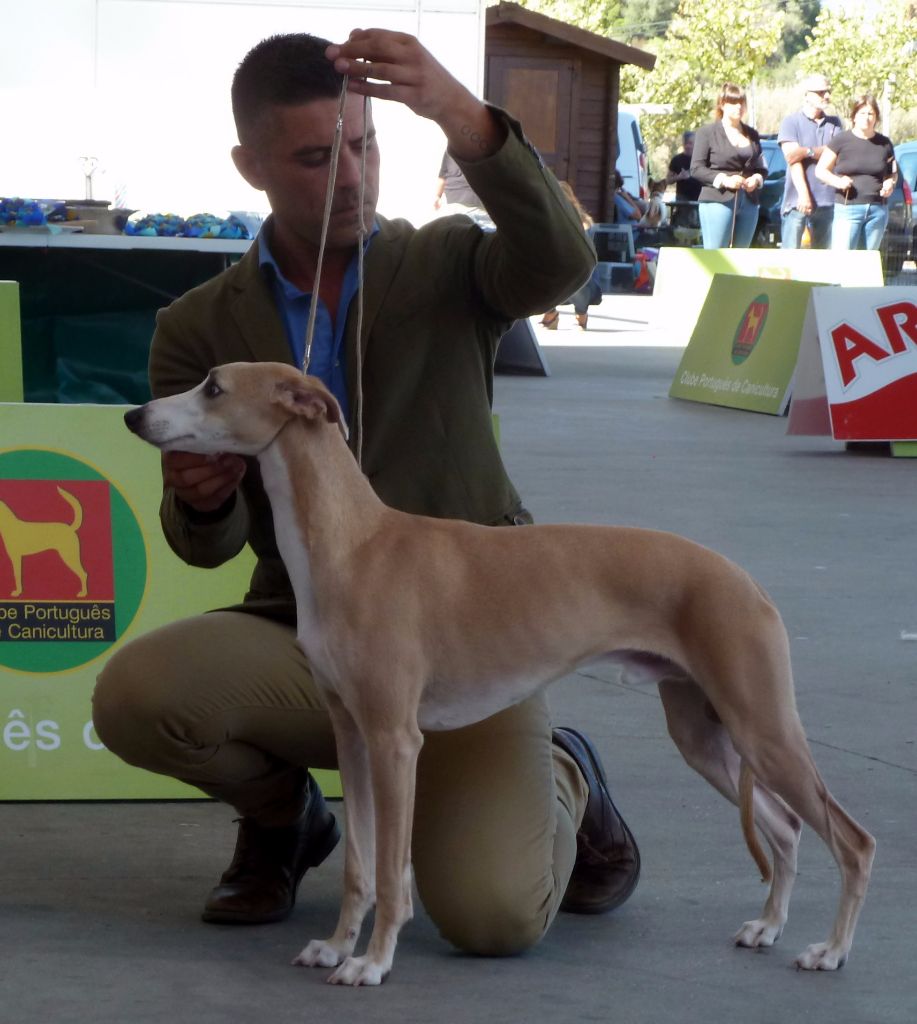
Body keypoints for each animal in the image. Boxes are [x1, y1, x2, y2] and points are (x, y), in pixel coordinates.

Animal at [123, 364, 876, 987]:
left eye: (214, 387)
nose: (134, 415)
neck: (353, 544)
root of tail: (743, 578)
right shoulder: (352, 734)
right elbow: (360, 864)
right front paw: (336, 946)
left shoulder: (395, 740)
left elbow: (392, 871)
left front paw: (372, 963)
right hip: (705, 733)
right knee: (786, 828)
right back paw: (768, 927)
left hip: (761, 725)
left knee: (852, 838)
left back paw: (831, 950)